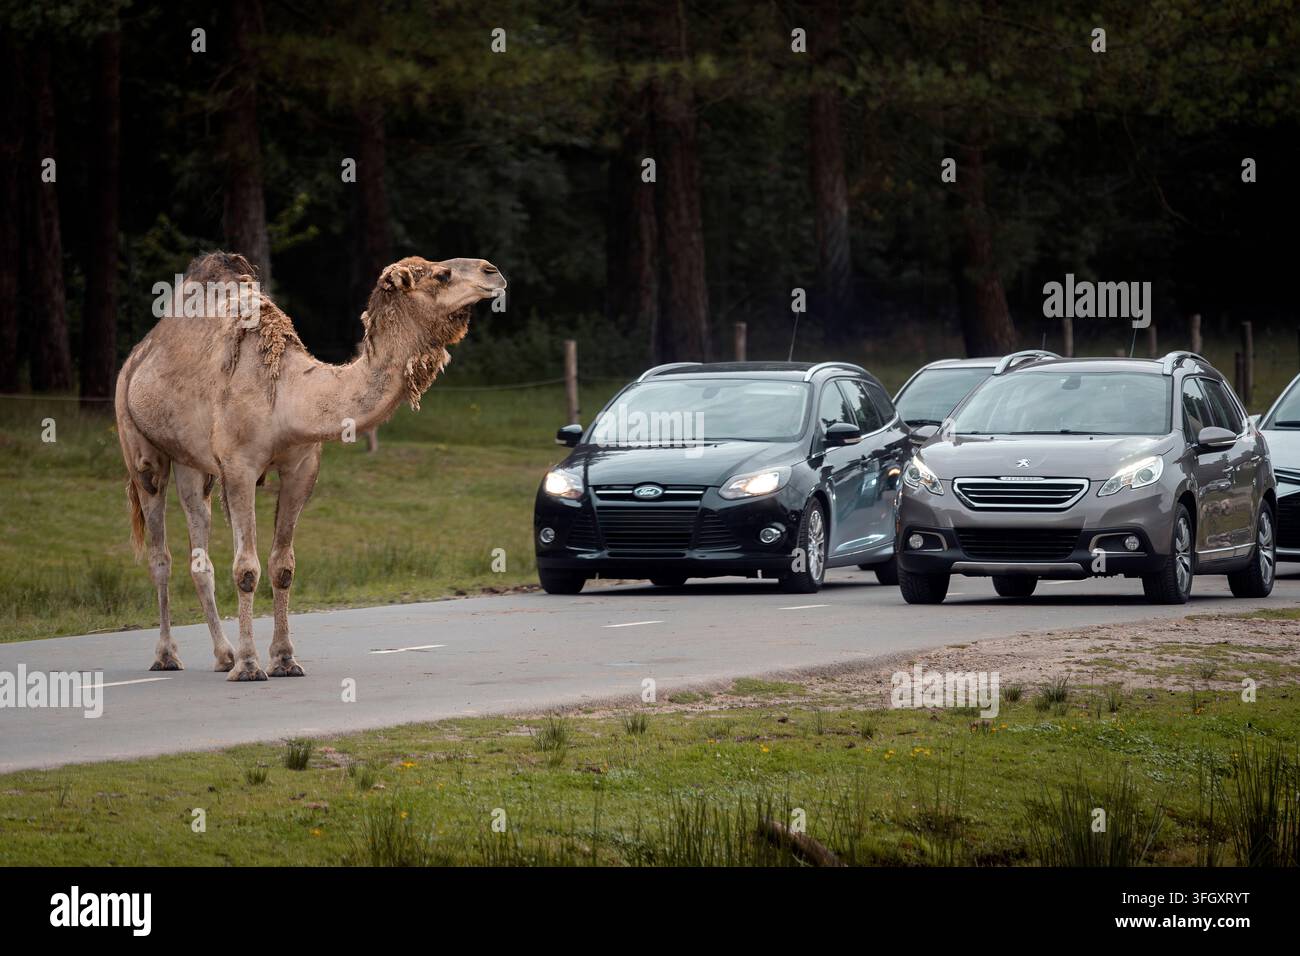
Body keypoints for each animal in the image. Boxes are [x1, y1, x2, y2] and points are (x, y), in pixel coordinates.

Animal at [114, 252, 505, 680]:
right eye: (441, 275)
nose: (493, 272)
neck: (291, 396)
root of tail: (140, 352)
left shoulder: (301, 467)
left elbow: (283, 566)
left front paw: (284, 660)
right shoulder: (239, 468)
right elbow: (246, 570)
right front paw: (250, 666)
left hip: (193, 464)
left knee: (198, 550)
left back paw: (223, 655)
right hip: (138, 443)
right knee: (159, 553)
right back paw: (168, 655)